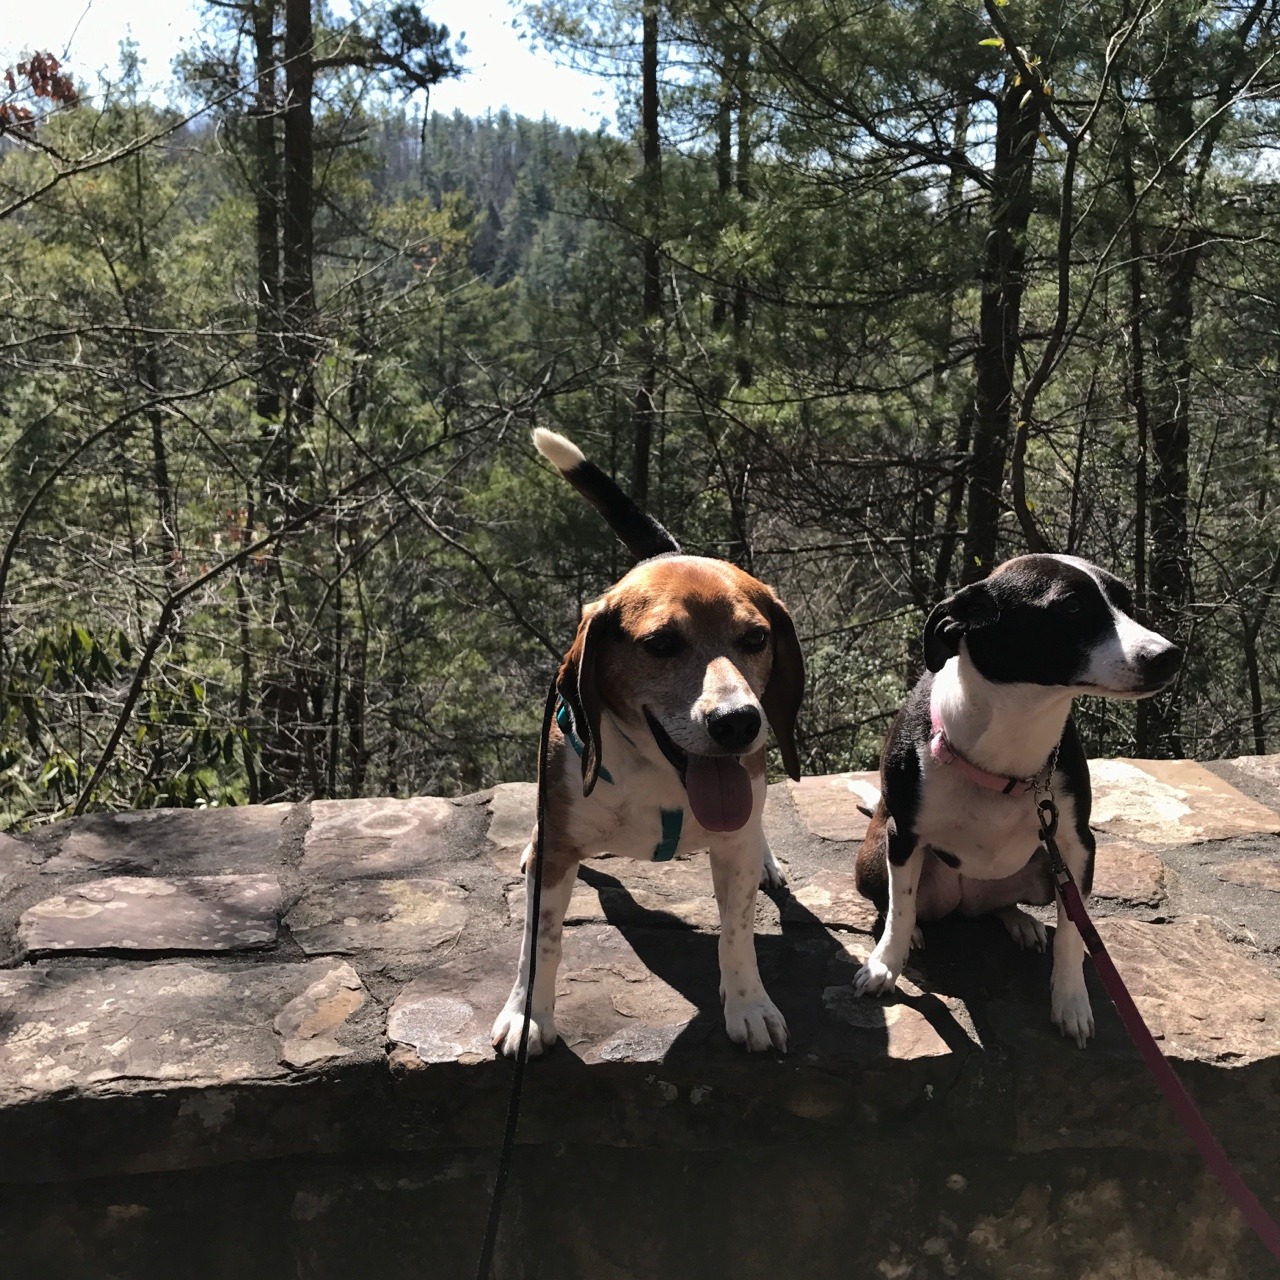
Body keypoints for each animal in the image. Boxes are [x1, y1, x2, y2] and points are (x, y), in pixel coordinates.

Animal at [488, 424, 798, 1054]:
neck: (660, 774)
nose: (737, 722)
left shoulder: (732, 847)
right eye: (659, 644)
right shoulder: (557, 855)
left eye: (756, 637)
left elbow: (737, 932)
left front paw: (749, 1004)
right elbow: (542, 942)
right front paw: (529, 1014)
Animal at [849, 555, 1177, 1044]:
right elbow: (901, 906)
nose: (1169, 654)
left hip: (1043, 868)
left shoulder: (1076, 846)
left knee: (1002, 906)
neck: (1011, 740)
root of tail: (965, 904)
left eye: (1126, 602)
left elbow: (1072, 931)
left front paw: (1071, 1000)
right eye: (1072, 607)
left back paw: (1019, 921)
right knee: (896, 901)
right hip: (875, 858)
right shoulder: (902, 833)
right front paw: (887, 963)